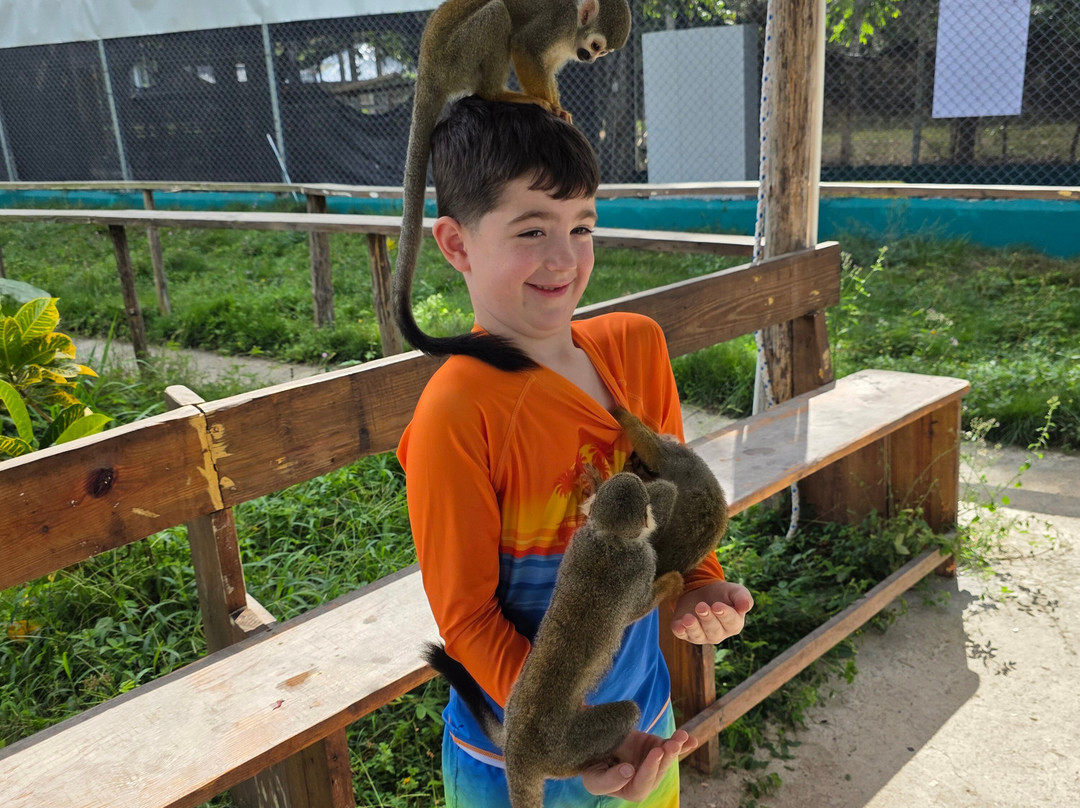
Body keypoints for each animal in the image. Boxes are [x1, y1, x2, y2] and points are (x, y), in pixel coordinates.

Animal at [393, 0, 632, 372]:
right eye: (595, 46)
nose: (589, 59)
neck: (573, 26)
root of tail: (426, 72)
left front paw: (558, 108)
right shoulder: (554, 23)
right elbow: (524, 46)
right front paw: (547, 105)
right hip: (456, 56)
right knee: (496, 14)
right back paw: (501, 94)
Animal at [423, 469, 684, 808]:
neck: (610, 537)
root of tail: (516, 750)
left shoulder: (579, 542)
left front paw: (592, 485)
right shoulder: (640, 562)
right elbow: (636, 608)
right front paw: (670, 583)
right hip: (566, 747)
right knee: (627, 713)